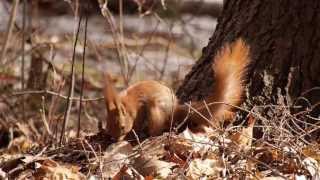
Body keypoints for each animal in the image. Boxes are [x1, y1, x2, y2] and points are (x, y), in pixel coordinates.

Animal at [104, 38, 250, 141]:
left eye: (122, 126)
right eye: (108, 124)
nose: (115, 140)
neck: (128, 104)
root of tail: (175, 109)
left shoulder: (138, 110)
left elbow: (137, 123)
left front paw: (132, 133)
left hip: (156, 111)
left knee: (158, 128)